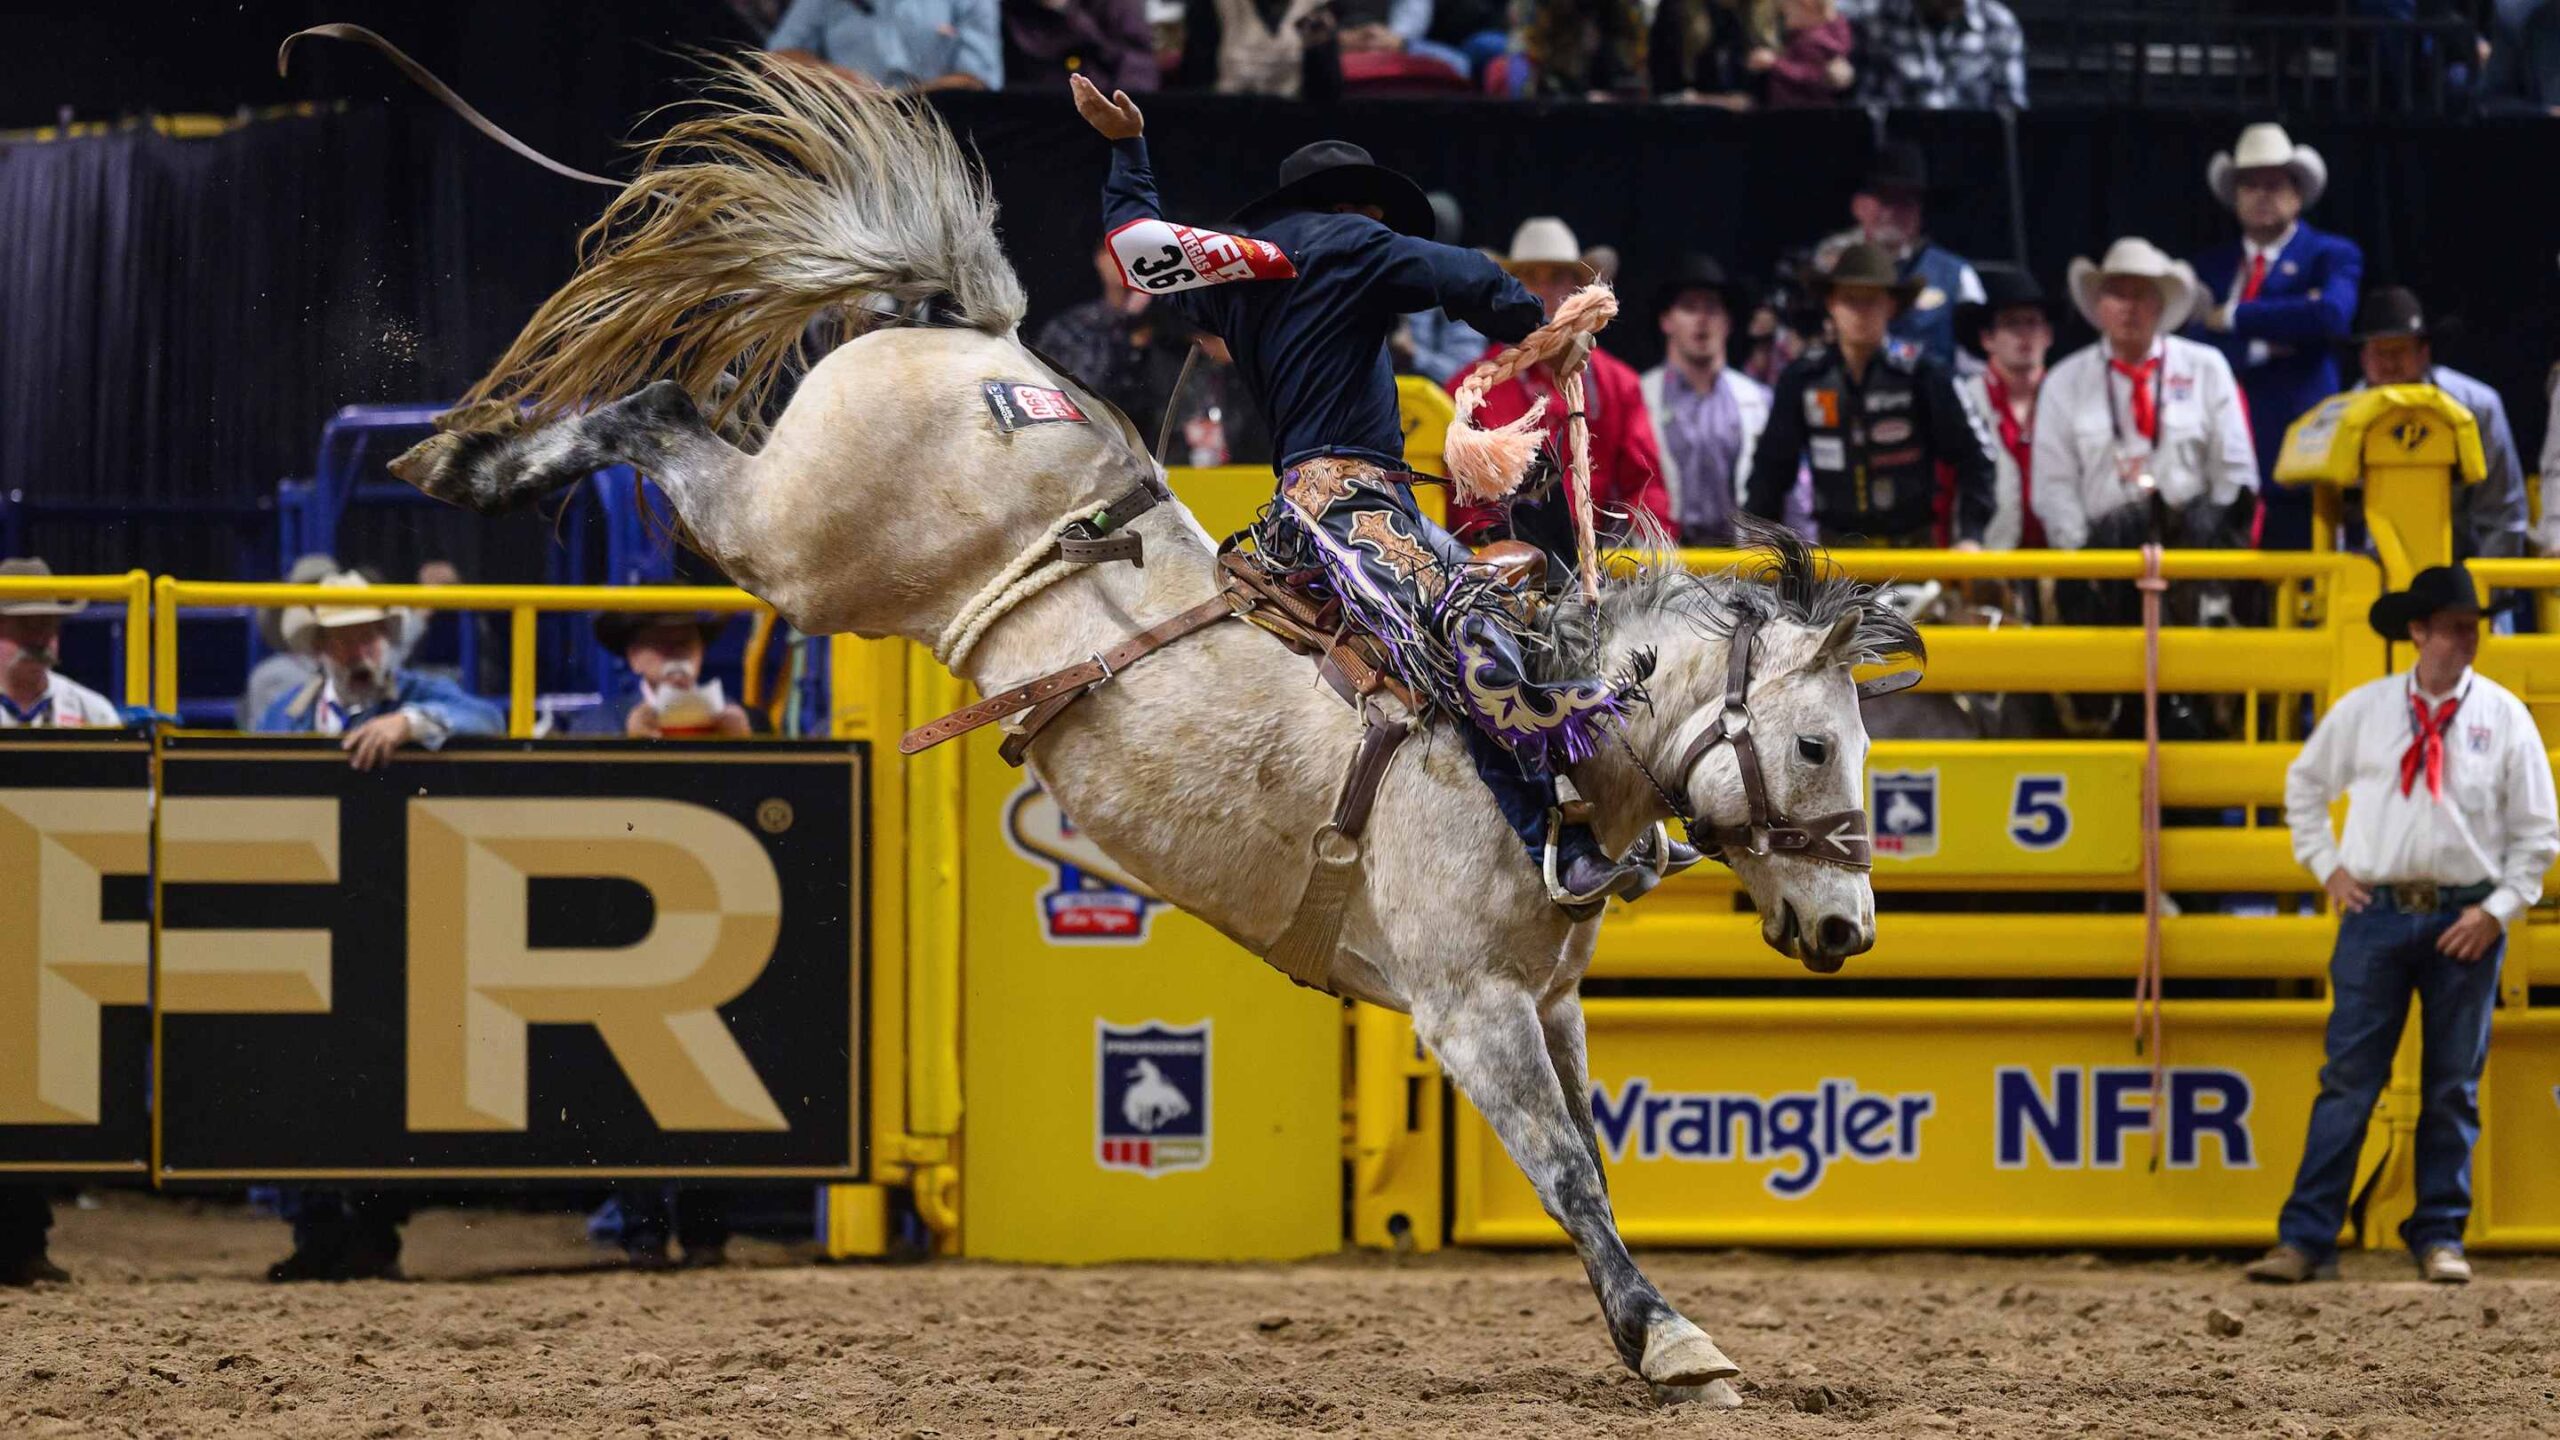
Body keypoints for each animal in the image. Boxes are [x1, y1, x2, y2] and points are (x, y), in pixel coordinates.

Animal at [378, 50, 1922, 1407]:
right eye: (1812, 744)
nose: (1848, 928)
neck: (1536, 734)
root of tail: (984, 339)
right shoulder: (1468, 1004)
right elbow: (1562, 1171)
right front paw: (1673, 1343)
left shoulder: (1550, 1001)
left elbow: (1593, 1156)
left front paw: (1656, 1328)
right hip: (796, 542)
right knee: (655, 406)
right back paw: (475, 459)